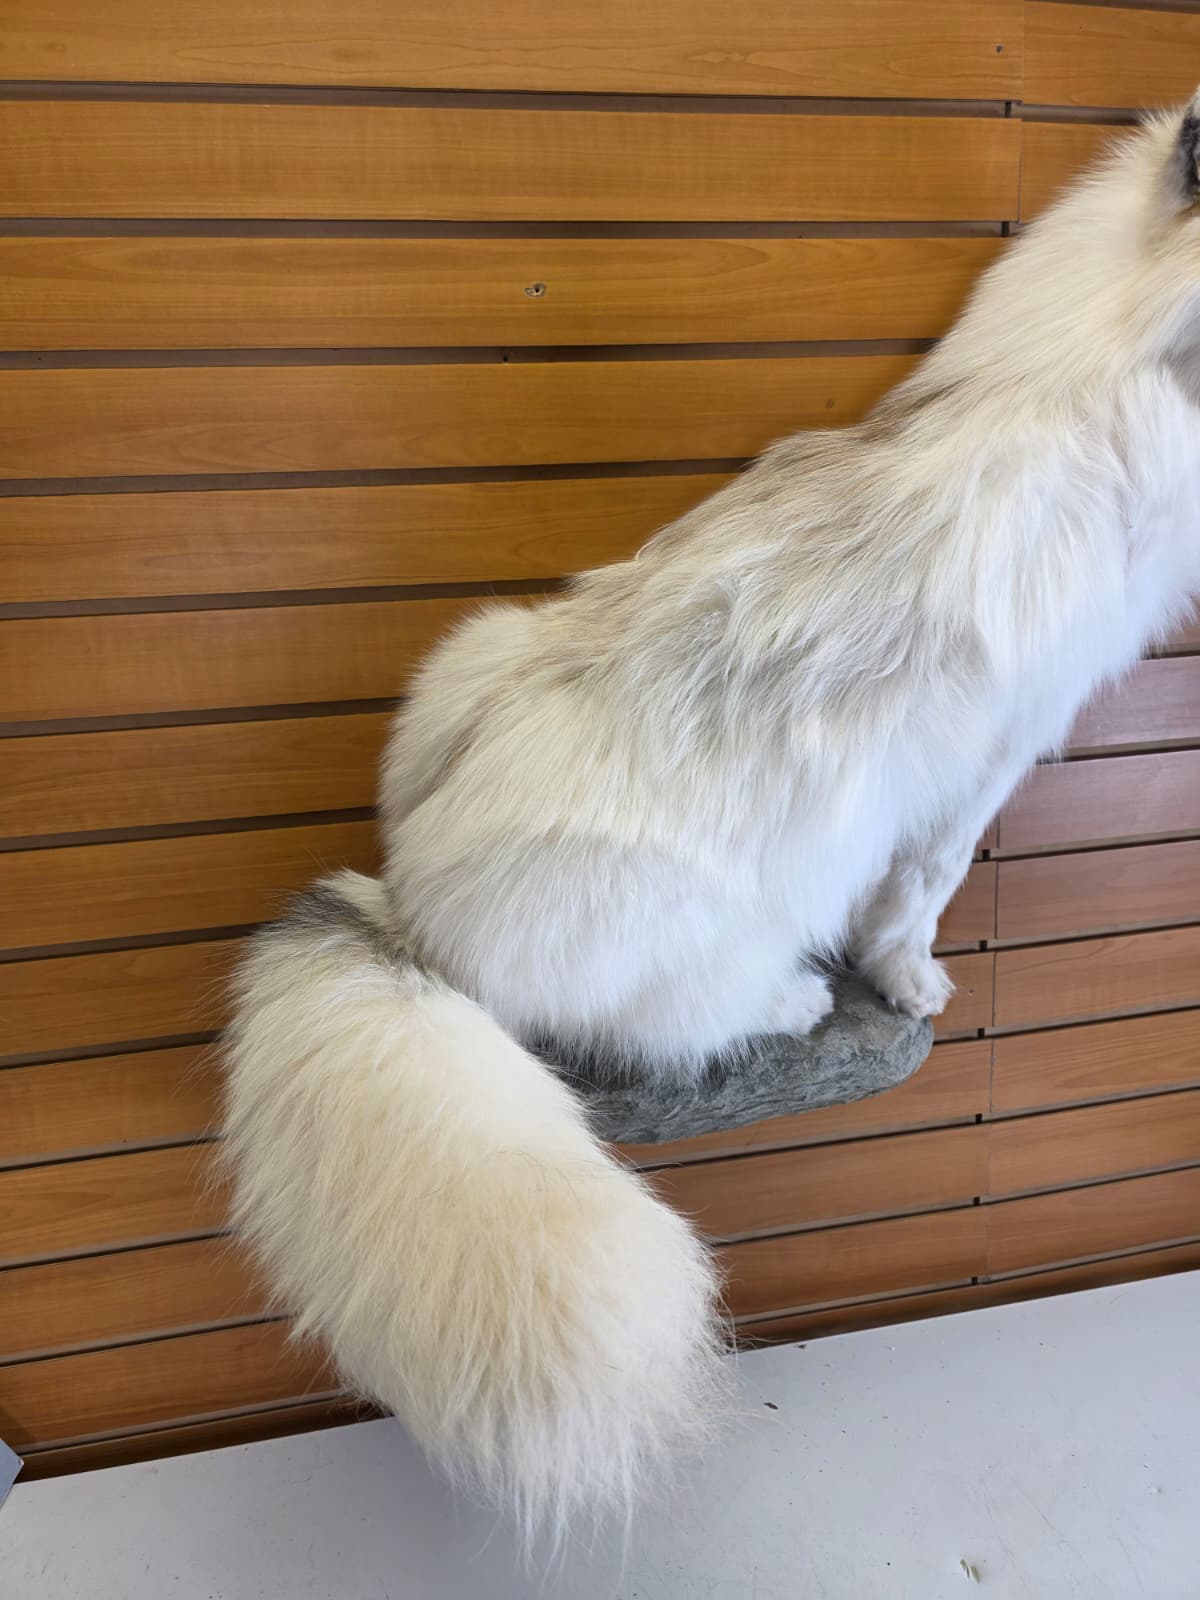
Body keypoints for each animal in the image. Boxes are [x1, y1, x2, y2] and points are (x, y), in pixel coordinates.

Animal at [223, 99, 1200, 1544]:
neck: (1105, 347)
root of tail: (411, 920)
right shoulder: (990, 759)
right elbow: (922, 893)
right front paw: (910, 986)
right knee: (671, 1026)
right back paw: (793, 1000)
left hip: (467, 655)